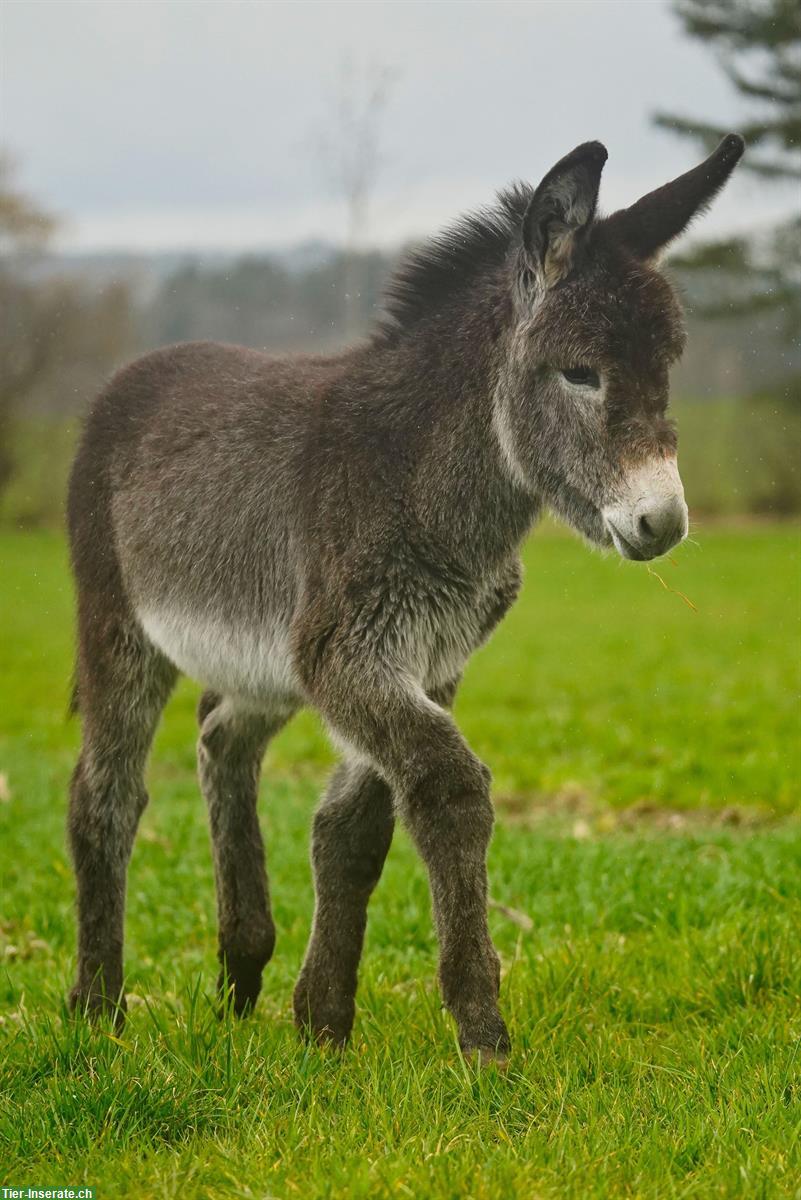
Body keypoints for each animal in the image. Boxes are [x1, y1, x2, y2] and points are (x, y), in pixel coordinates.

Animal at [67, 133, 743, 1060]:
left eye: (666, 372)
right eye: (579, 374)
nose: (661, 523)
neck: (423, 478)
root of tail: (136, 375)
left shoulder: (426, 658)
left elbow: (354, 828)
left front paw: (321, 1023)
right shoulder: (350, 655)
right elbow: (448, 788)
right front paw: (481, 1030)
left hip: (262, 664)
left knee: (219, 737)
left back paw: (241, 972)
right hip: (122, 629)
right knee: (105, 795)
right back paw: (98, 1011)